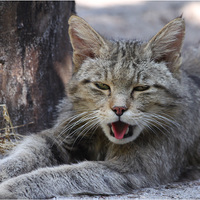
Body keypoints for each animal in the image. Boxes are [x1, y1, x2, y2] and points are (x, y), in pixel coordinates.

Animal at [0, 14, 200, 198]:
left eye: (141, 88)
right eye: (102, 86)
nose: (119, 109)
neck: (105, 139)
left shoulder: (131, 169)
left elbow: (70, 173)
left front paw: (13, 185)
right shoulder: (56, 137)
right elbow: (24, 155)